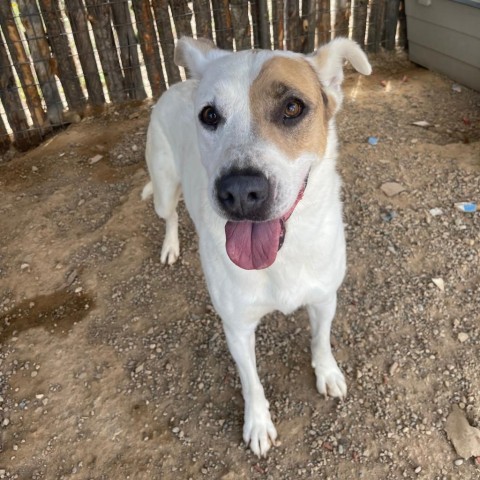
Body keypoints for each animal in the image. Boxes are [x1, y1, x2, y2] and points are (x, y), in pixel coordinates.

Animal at [142, 37, 372, 458]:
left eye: (293, 107)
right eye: (210, 115)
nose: (239, 192)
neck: (283, 254)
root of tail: (178, 84)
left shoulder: (324, 297)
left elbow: (321, 340)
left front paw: (327, 372)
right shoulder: (237, 326)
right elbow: (251, 382)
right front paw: (259, 424)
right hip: (163, 188)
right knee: (169, 215)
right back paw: (170, 246)